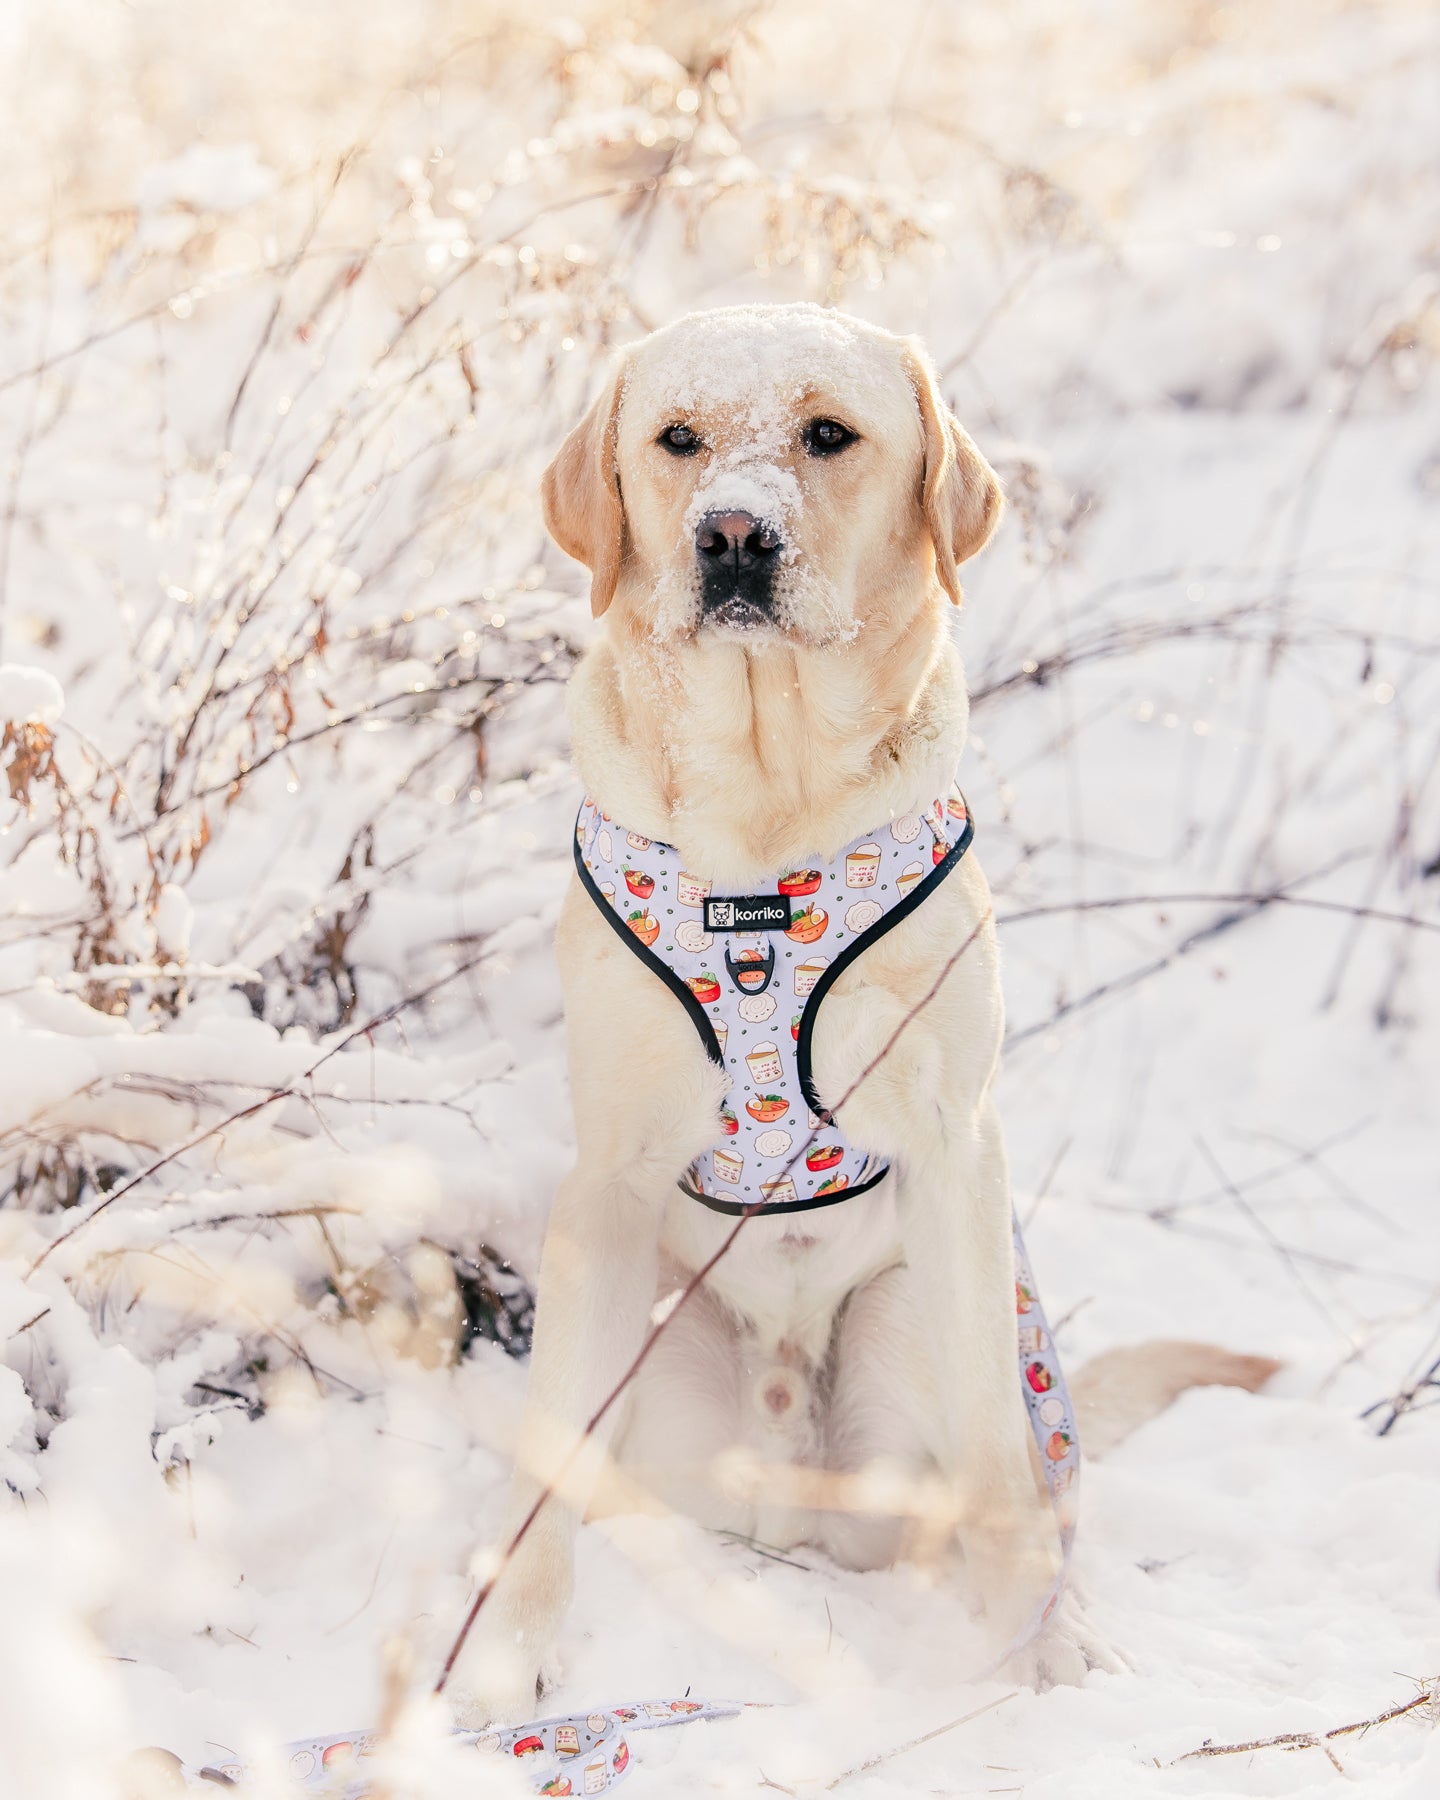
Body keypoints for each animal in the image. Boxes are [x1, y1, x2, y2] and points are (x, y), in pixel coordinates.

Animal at [450, 302, 1274, 1720]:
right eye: (678, 439)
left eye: (830, 435)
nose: (733, 535)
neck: (761, 825)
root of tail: (787, 1487)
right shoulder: (607, 1179)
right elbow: (541, 1469)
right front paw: (511, 1653)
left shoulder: (954, 1153)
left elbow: (1004, 1459)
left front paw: (1045, 1645)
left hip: (918, 1327)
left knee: (1009, 1464)